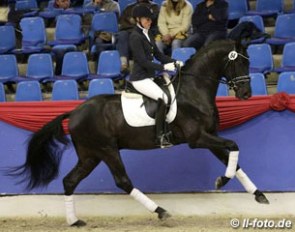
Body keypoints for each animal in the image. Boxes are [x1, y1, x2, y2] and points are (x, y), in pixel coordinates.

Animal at [8, 40, 270, 227]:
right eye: (240, 63)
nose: (246, 94)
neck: (193, 91)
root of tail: (73, 112)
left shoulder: (210, 136)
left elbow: (233, 160)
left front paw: (258, 195)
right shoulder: (197, 139)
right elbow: (234, 146)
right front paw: (221, 181)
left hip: (90, 154)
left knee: (70, 180)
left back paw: (74, 221)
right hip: (106, 150)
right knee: (122, 181)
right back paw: (161, 211)